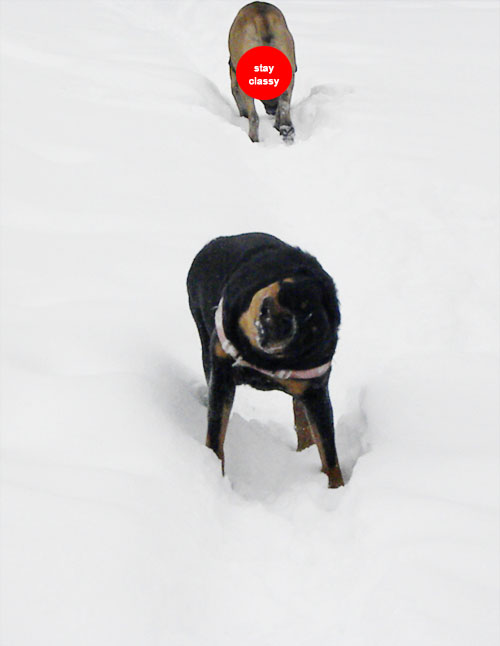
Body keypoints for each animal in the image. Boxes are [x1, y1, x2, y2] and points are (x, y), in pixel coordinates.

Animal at [187, 233, 344, 492]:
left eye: (308, 331)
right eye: (295, 300)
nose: (288, 322)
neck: (260, 357)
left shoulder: (315, 391)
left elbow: (328, 451)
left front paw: (337, 488)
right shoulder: (222, 374)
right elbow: (216, 433)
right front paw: (213, 468)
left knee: (300, 416)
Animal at [229, 2, 296, 144]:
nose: (271, 110)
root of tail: (262, 20)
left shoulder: (234, 81)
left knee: (254, 117)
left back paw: (253, 138)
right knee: (284, 110)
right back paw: (285, 131)